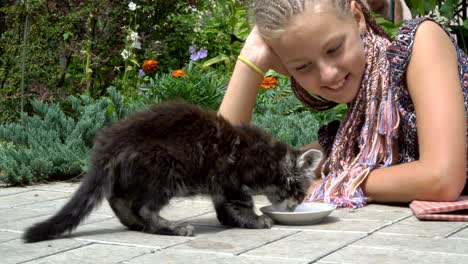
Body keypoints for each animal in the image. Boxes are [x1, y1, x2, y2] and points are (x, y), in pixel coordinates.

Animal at [22, 101, 322, 243]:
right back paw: (169, 227)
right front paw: (255, 220)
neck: (270, 159)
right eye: (301, 192)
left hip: (135, 174)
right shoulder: (233, 178)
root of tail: (111, 141)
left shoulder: (220, 183)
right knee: (142, 206)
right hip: (165, 169)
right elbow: (243, 203)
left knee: (118, 199)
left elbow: (224, 205)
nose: (295, 207)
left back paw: (135, 223)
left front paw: (230, 220)